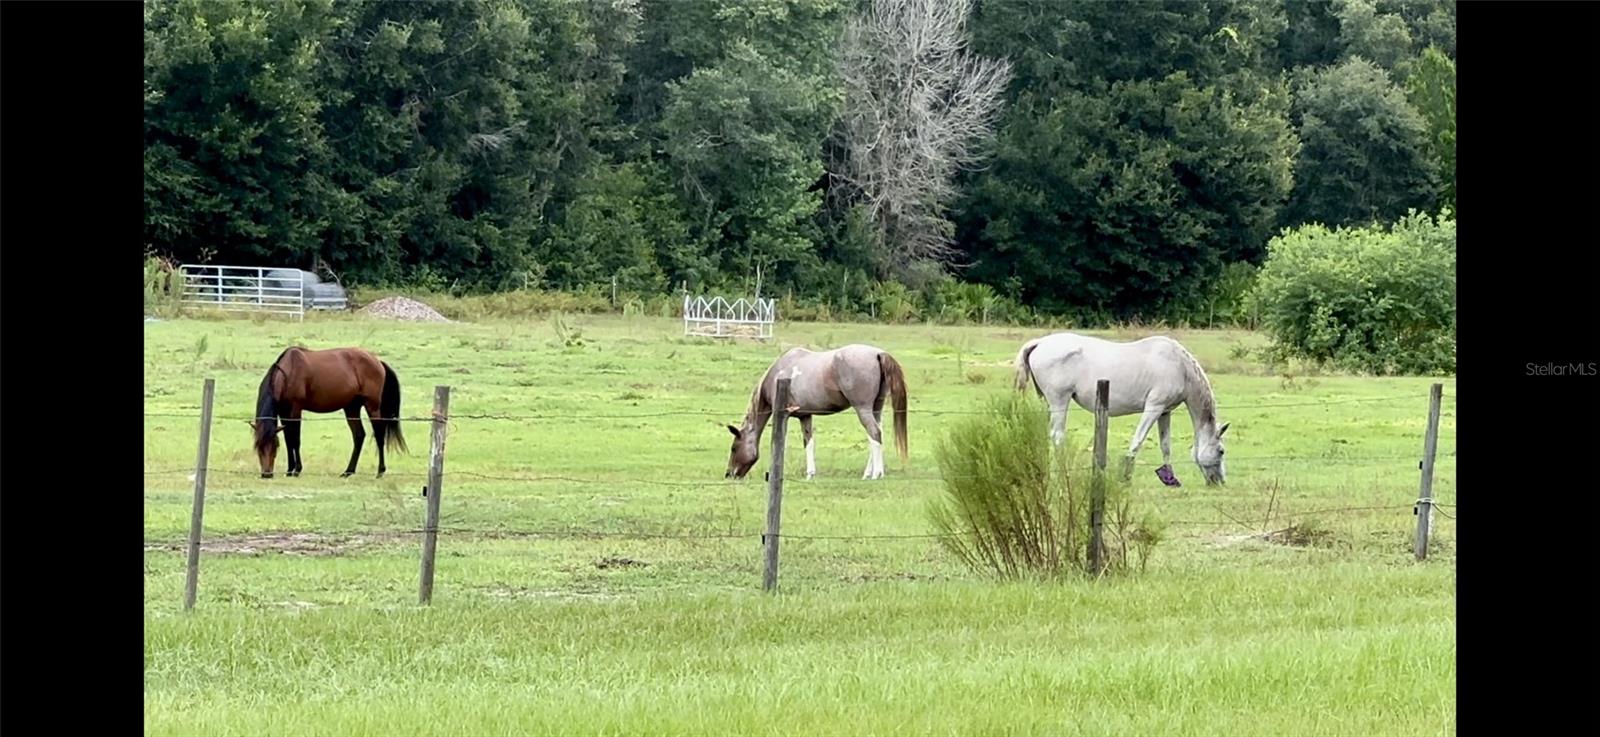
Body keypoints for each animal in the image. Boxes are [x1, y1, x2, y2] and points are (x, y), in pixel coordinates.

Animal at [251, 346, 409, 479]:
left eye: (275, 447)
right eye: (258, 447)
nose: (266, 474)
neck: (289, 371)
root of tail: (378, 361)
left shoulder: (295, 409)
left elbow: (295, 439)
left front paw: (297, 470)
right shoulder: (284, 412)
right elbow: (289, 439)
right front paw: (290, 470)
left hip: (372, 406)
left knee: (379, 435)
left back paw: (380, 471)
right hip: (351, 408)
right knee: (359, 436)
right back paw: (348, 471)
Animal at [729, 346, 908, 482]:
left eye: (734, 448)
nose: (729, 474)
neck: (779, 374)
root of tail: (878, 353)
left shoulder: (782, 415)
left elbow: (779, 443)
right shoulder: (805, 416)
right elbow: (809, 442)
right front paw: (810, 474)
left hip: (862, 409)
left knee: (874, 433)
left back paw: (876, 474)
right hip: (876, 408)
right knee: (876, 435)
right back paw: (869, 473)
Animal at [1017, 332, 1228, 482]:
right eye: (1221, 451)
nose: (1220, 481)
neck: (1179, 366)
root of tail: (1040, 343)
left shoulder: (1165, 412)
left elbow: (1165, 445)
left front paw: (1169, 477)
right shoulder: (1154, 407)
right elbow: (1138, 439)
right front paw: (1125, 475)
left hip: (1047, 403)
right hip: (1059, 401)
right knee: (1057, 436)